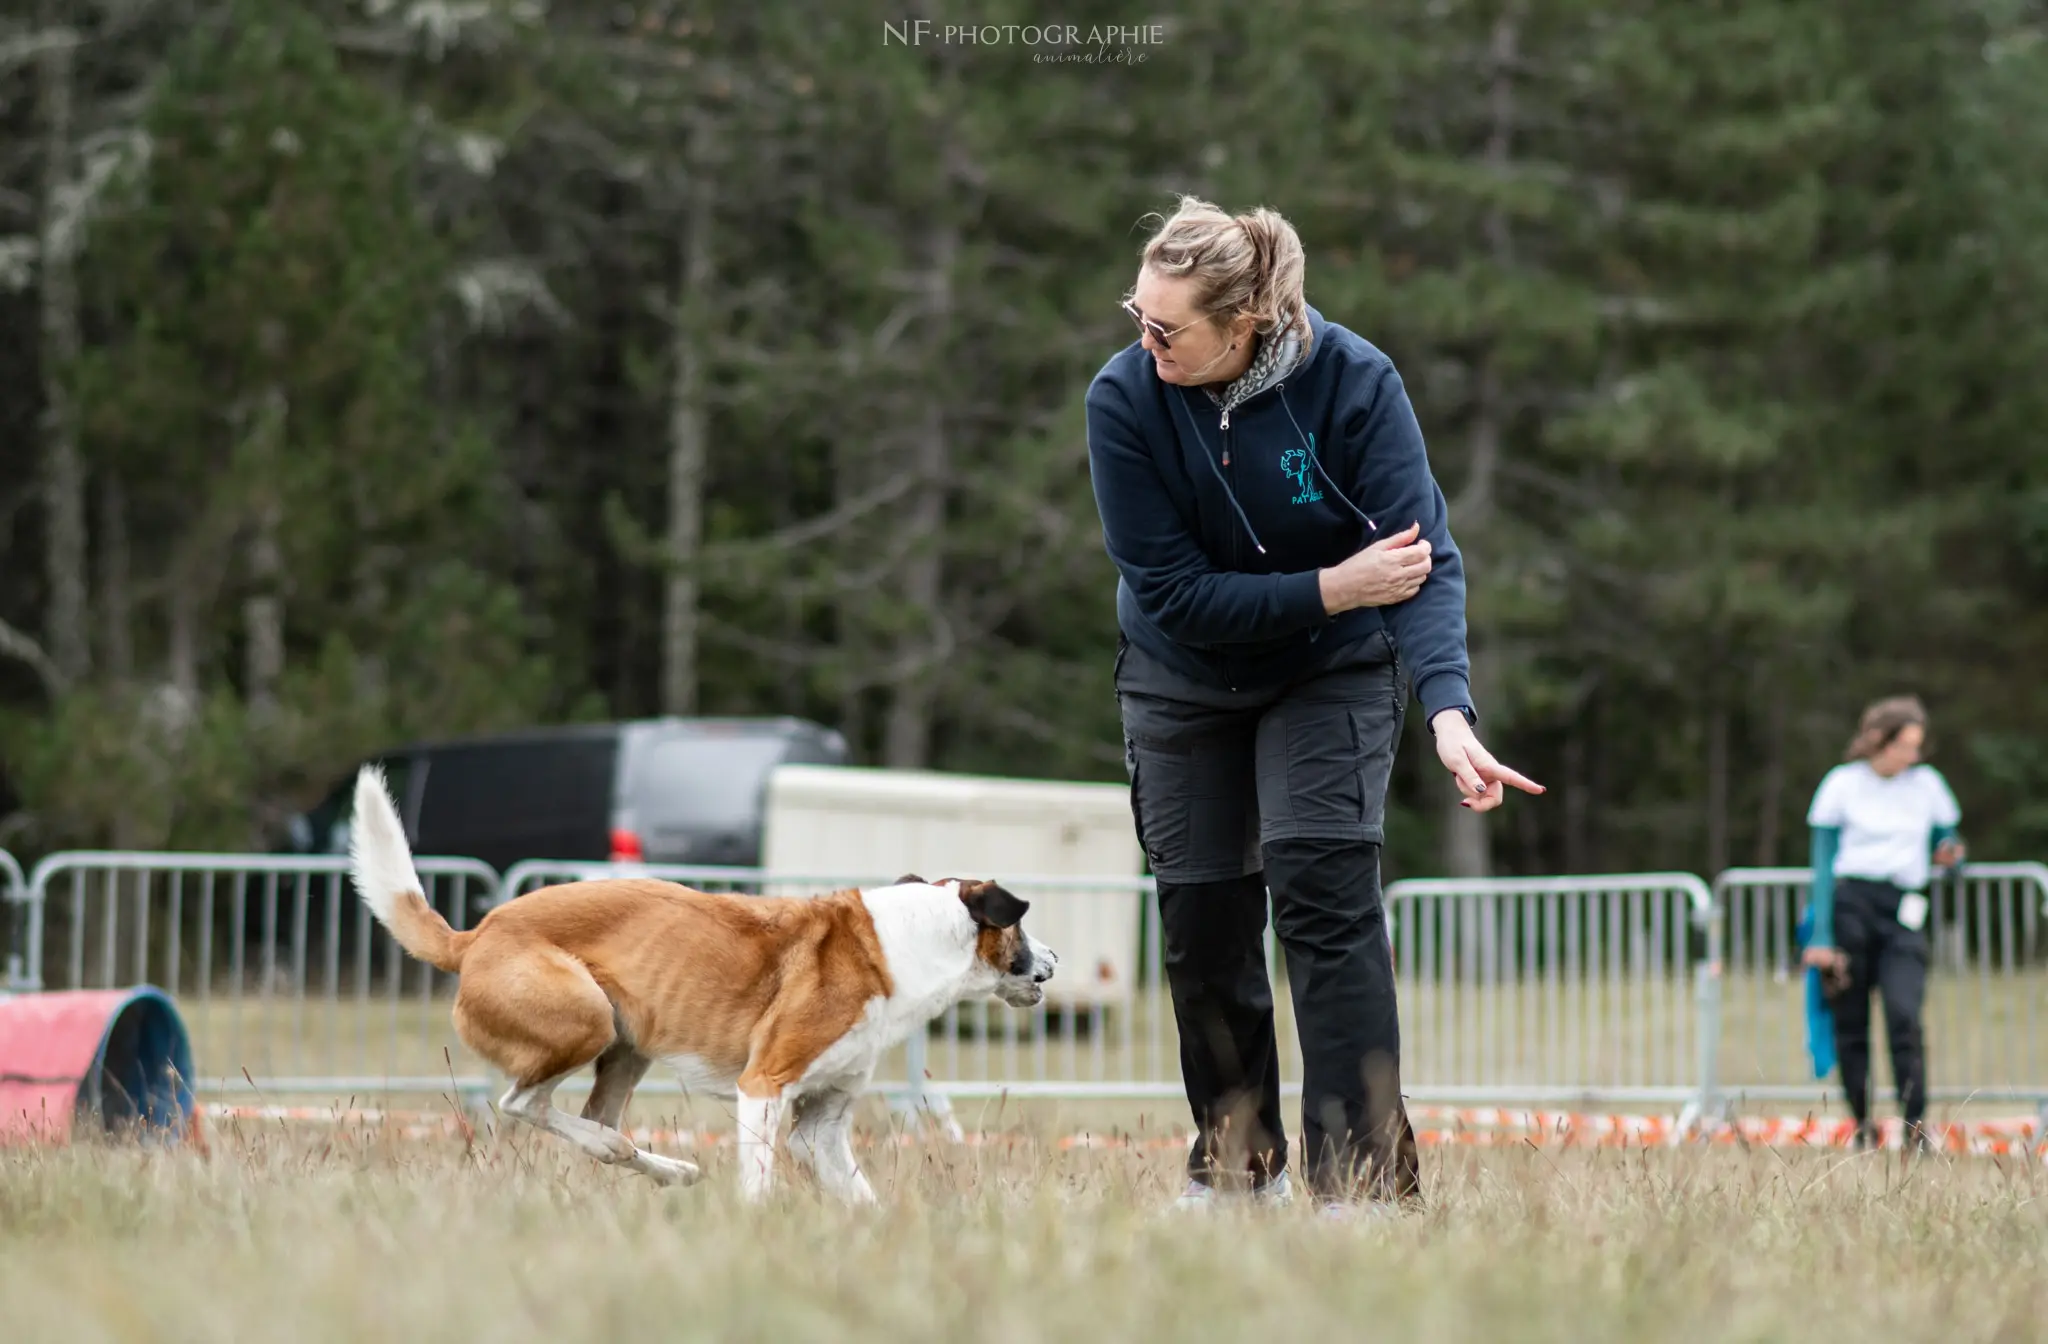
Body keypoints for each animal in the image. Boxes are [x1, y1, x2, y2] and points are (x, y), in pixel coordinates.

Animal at [348, 762, 1056, 1204]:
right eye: (1022, 927)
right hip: (587, 1018)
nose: (1053, 961)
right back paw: (640, 1156)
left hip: (625, 1045)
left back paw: (657, 1165)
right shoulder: (763, 1086)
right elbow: (759, 1186)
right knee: (522, 1104)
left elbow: (861, 1197)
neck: (914, 938)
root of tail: (475, 934)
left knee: (581, 1120)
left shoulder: (820, 1123)